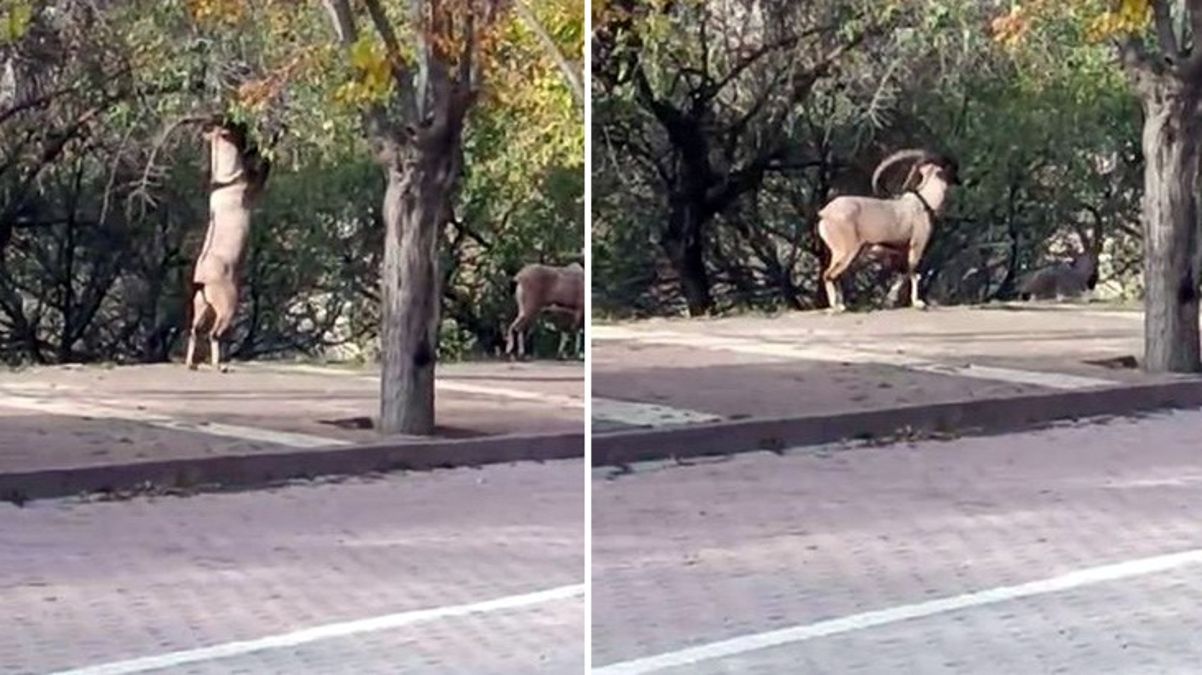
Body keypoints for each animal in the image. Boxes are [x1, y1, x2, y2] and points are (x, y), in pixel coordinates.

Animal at [183, 119, 271, 372]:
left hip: (201, 307)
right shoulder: (253, 185)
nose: (244, 123)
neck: (223, 177)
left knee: (194, 332)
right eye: (233, 129)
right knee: (214, 334)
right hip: (227, 306)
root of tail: (202, 281)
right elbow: (263, 167)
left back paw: (190, 363)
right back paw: (218, 365)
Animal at [817, 148, 956, 312]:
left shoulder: (900, 252)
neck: (924, 203)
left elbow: (903, 274)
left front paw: (890, 301)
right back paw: (837, 306)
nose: (958, 179)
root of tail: (825, 213)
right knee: (828, 274)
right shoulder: (916, 245)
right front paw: (918, 303)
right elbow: (914, 272)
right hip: (846, 251)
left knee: (835, 275)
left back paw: (841, 304)